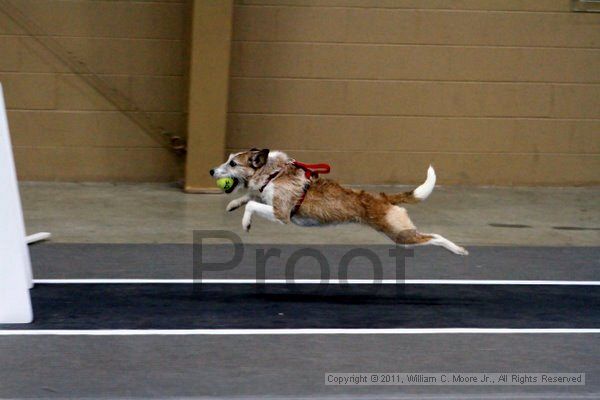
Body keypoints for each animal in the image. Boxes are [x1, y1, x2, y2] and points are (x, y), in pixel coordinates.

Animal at [211, 148, 468, 255]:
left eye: (233, 163)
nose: (211, 170)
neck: (274, 172)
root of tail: (384, 197)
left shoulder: (281, 214)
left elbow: (253, 204)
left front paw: (245, 222)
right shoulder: (264, 196)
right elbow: (250, 196)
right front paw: (233, 205)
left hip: (400, 235)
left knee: (434, 237)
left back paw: (458, 249)